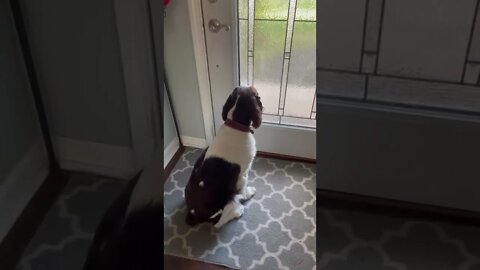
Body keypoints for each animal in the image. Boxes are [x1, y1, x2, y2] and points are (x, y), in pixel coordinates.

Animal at [184, 86, 262, 228]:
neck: (236, 125)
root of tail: (193, 214)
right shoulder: (243, 174)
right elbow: (243, 189)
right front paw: (249, 193)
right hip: (225, 201)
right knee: (217, 222)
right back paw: (238, 211)